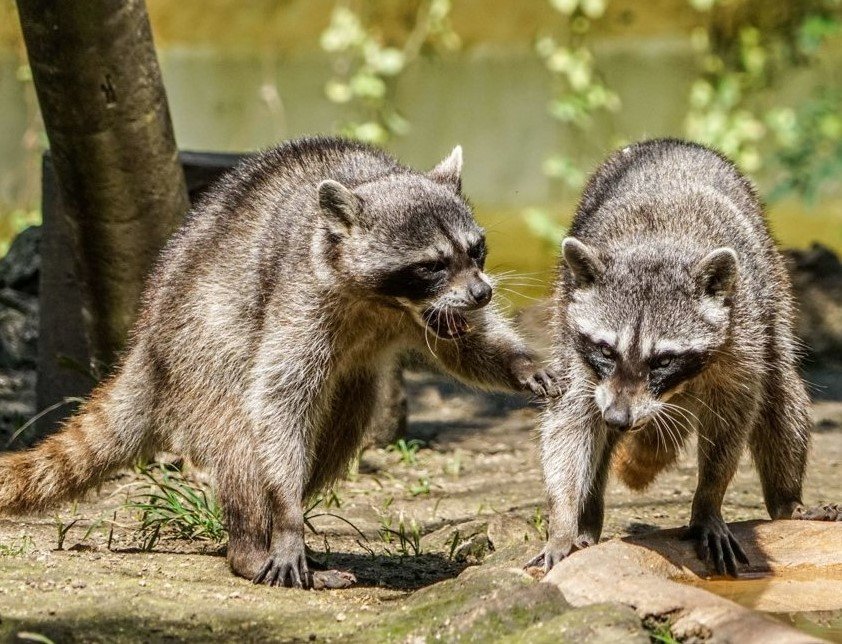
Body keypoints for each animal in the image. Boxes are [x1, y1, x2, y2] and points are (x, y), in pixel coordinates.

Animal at [0, 137, 559, 588]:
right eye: (431, 265)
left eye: (476, 250)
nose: (484, 293)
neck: (387, 304)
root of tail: (147, 348)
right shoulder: (299, 292)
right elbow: (278, 397)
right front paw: (287, 518)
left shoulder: (434, 314)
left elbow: (467, 344)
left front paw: (519, 360)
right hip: (200, 360)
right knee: (244, 442)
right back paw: (255, 543)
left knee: (340, 425)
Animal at [529, 138, 811, 577]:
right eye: (606, 350)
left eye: (662, 360)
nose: (619, 418)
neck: (656, 244)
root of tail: (671, 143)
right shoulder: (574, 339)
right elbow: (570, 421)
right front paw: (562, 520)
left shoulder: (740, 334)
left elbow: (731, 420)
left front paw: (708, 499)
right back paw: (587, 518)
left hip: (772, 288)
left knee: (781, 392)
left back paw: (787, 501)